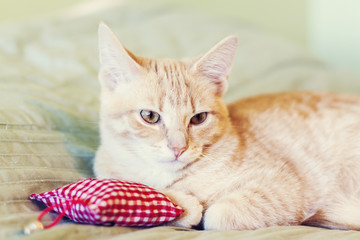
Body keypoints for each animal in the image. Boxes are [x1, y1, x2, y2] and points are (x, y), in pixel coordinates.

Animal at [93, 23, 360, 231]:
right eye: (149, 116)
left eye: (198, 118)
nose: (178, 148)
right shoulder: (106, 169)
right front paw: (181, 204)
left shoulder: (286, 186)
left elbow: (217, 216)